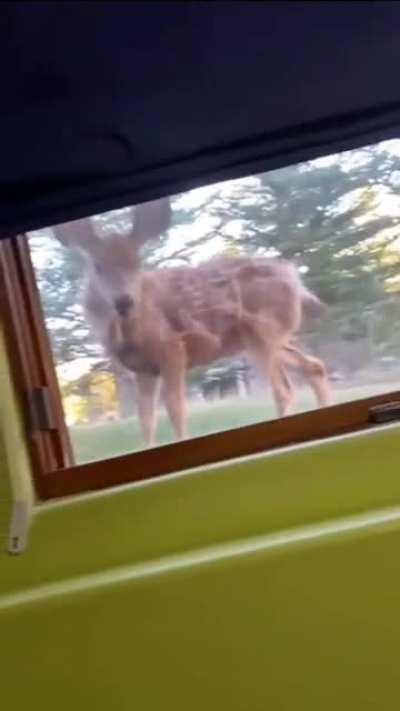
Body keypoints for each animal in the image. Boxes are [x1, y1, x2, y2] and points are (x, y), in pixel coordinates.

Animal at [53, 197, 332, 446]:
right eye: (98, 266)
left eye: (137, 264)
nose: (124, 300)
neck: (128, 331)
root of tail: (295, 279)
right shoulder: (143, 369)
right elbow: (146, 419)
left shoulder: (172, 348)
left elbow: (175, 408)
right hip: (262, 338)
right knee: (314, 366)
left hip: (261, 331)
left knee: (283, 390)